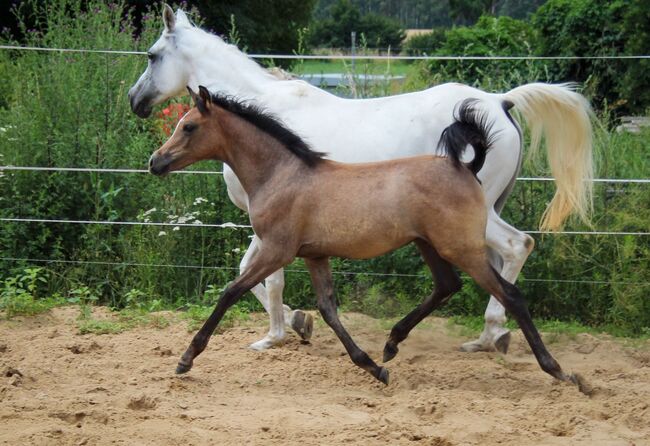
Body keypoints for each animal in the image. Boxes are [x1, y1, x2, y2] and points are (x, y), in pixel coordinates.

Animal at [128, 6, 592, 352]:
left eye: (152, 55)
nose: (135, 101)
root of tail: (500, 102)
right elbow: (249, 272)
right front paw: (297, 323)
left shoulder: (271, 224)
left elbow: (262, 276)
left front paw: (280, 333)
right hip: (484, 209)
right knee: (498, 262)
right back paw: (494, 335)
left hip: (475, 214)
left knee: (517, 245)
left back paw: (489, 333)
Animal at [149, 85, 580, 388]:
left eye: (188, 126)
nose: (155, 162)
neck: (282, 174)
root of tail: (466, 168)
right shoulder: (314, 255)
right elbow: (328, 310)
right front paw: (373, 368)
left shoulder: (276, 250)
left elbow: (230, 292)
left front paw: (186, 359)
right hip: (429, 245)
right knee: (447, 285)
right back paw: (391, 345)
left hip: (461, 247)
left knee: (510, 293)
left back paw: (560, 371)